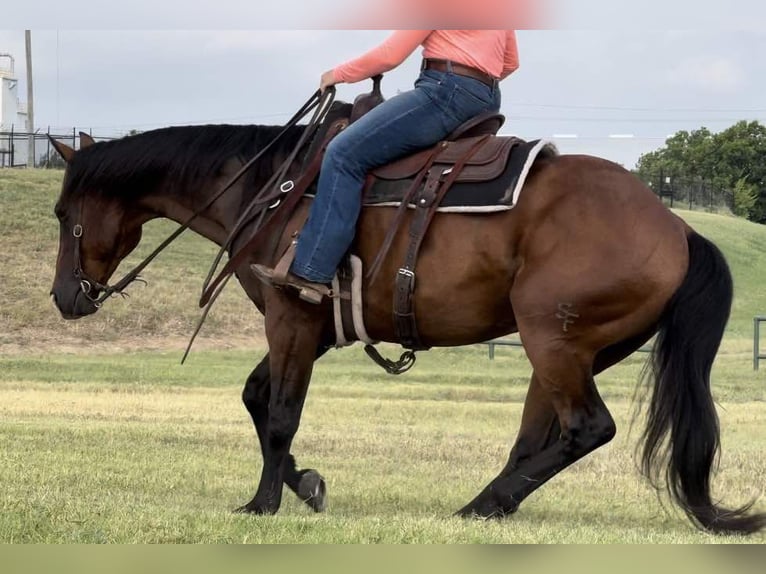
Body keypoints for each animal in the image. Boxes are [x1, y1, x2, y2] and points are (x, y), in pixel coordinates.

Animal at [48, 121, 765, 535]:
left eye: (62, 213)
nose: (63, 298)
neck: (276, 187)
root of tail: (675, 226)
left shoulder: (291, 317)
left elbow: (280, 413)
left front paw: (264, 503)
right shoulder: (310, 329)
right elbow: (257, 399)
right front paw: (305, 484)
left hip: (552, 339)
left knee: (589, 427)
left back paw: (482, 506)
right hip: (575, 351)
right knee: (542, 437)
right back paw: (490, 504)